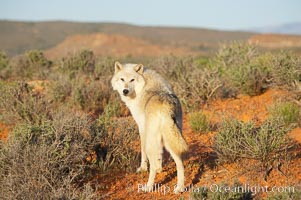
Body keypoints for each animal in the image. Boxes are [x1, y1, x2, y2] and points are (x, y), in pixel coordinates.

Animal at [110, 61, 185, 194]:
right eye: (122, 79)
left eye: (132, 79)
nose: (125, 91)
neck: (142, 85)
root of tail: (165, 107)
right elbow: (160, 154)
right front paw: (161, 168)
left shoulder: (142, 127)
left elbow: (143, 150)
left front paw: (142, 168)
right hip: (172, 140)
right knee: (180, 164)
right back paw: (179, 188)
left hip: (154, 140)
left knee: (153, 166)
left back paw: (148, 187)